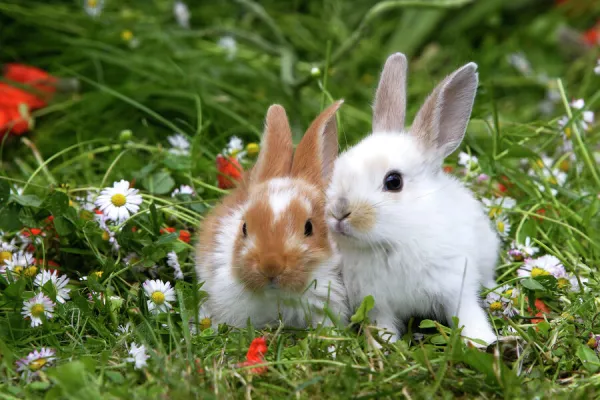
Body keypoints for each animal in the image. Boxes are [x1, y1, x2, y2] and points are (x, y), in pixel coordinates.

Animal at [326, 53, 500, 346]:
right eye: (338, 167)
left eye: (393, 182)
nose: (340, 211)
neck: (393, 242)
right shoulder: (377, 304)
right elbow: (383, 326)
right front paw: (383, 348)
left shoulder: (455, 286)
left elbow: (468, 314)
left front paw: (484, 342)